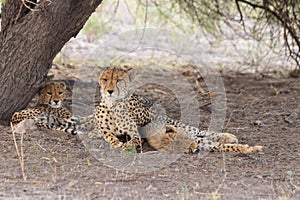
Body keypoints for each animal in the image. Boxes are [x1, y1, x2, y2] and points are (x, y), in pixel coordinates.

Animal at [58, 66, 260, 154]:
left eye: (118, 80)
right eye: (105, 79)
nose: (109, 90)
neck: (114, 105)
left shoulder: (137, 131)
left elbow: (133, 139)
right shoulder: (107, 131)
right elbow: (109, 137)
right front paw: (117, 144)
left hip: (176, 124)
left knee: (200, 131)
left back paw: (229, 137)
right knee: (202, 138)